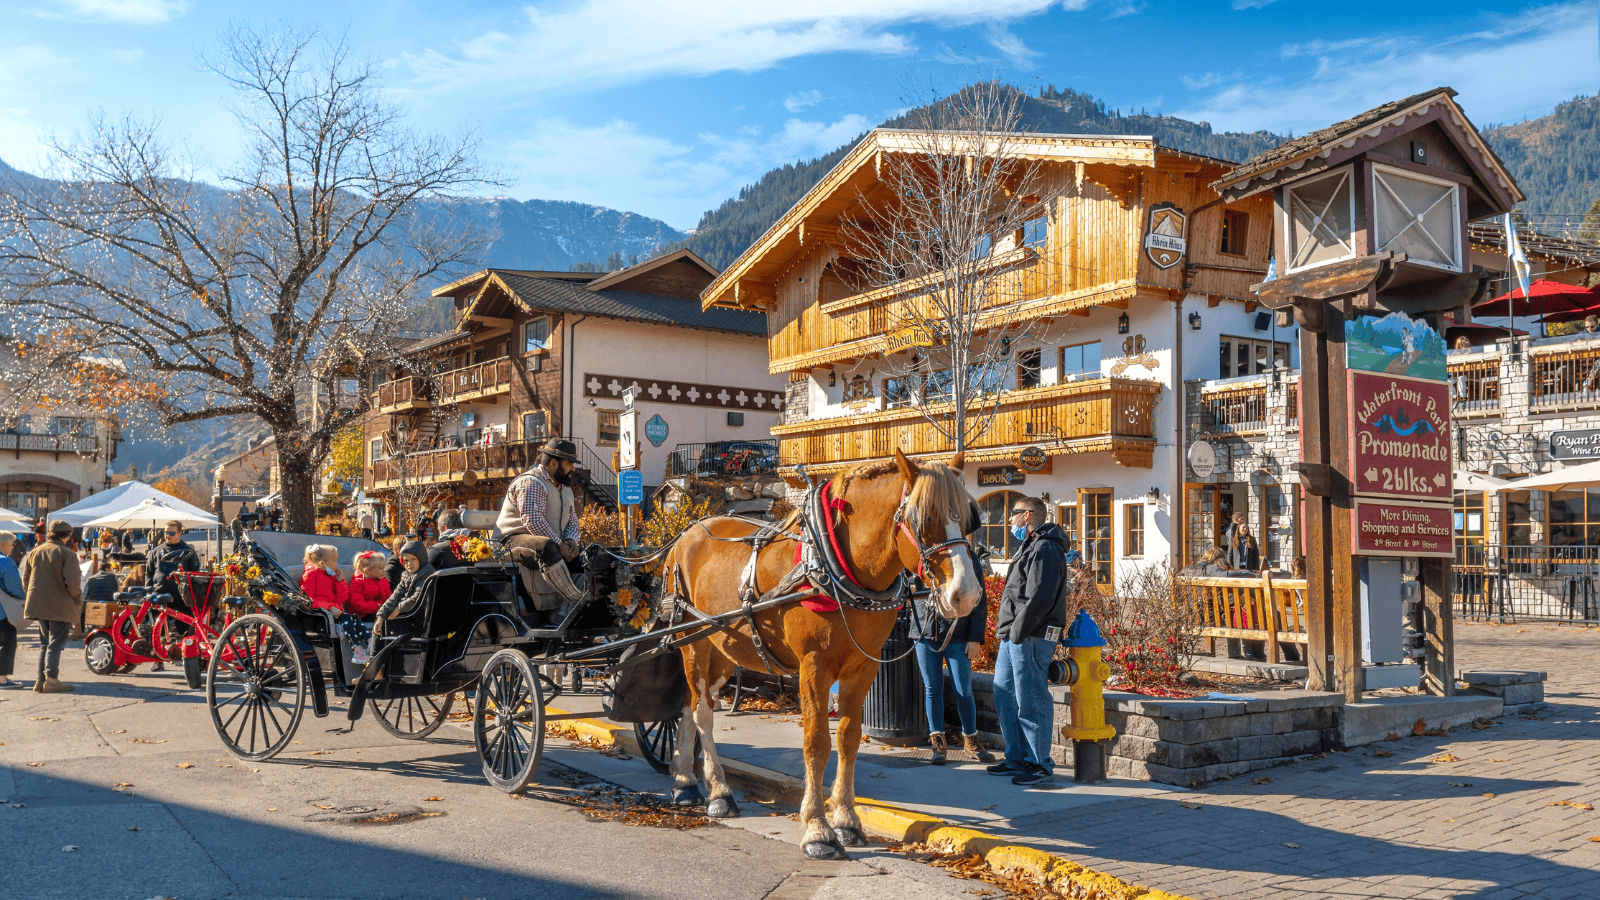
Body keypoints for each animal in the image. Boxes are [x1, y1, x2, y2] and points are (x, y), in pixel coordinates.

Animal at [662, 445, 985, 851]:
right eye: (924, 519)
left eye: (971, 521)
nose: (967, 595)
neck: (840, 565)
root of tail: (687, 534)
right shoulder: (814, 664)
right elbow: (816, 743)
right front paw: (818, 827)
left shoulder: (862, 666)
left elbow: (848, 739)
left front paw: (846, 820)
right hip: (694, 640)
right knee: (703, 711)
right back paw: (719, 791)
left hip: (724, 650)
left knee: (691, 704)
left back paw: (685, 782)